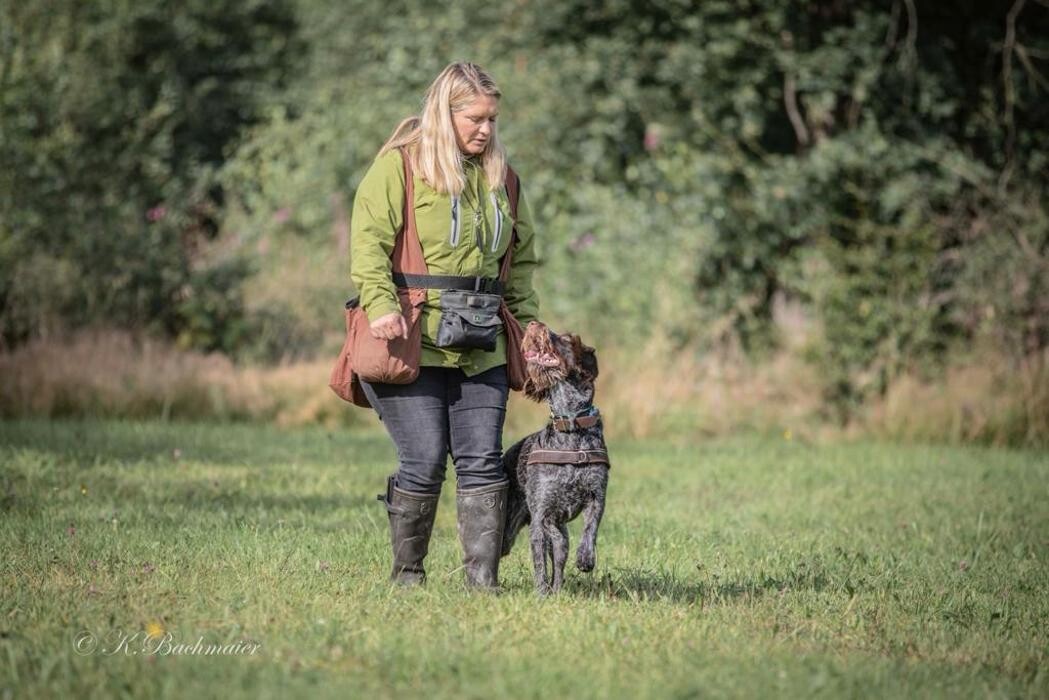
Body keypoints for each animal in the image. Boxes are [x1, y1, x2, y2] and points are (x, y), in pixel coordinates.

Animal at [501, 321, 612, 596]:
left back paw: (559, 589)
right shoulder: (542, 513)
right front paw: (541, 594)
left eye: (567, 339)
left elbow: (590, 529)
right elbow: (541, 560)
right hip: (507, 532)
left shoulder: (597, 496)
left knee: (560, 560)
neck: (571, 427)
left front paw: (586, 558)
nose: (534, 323)